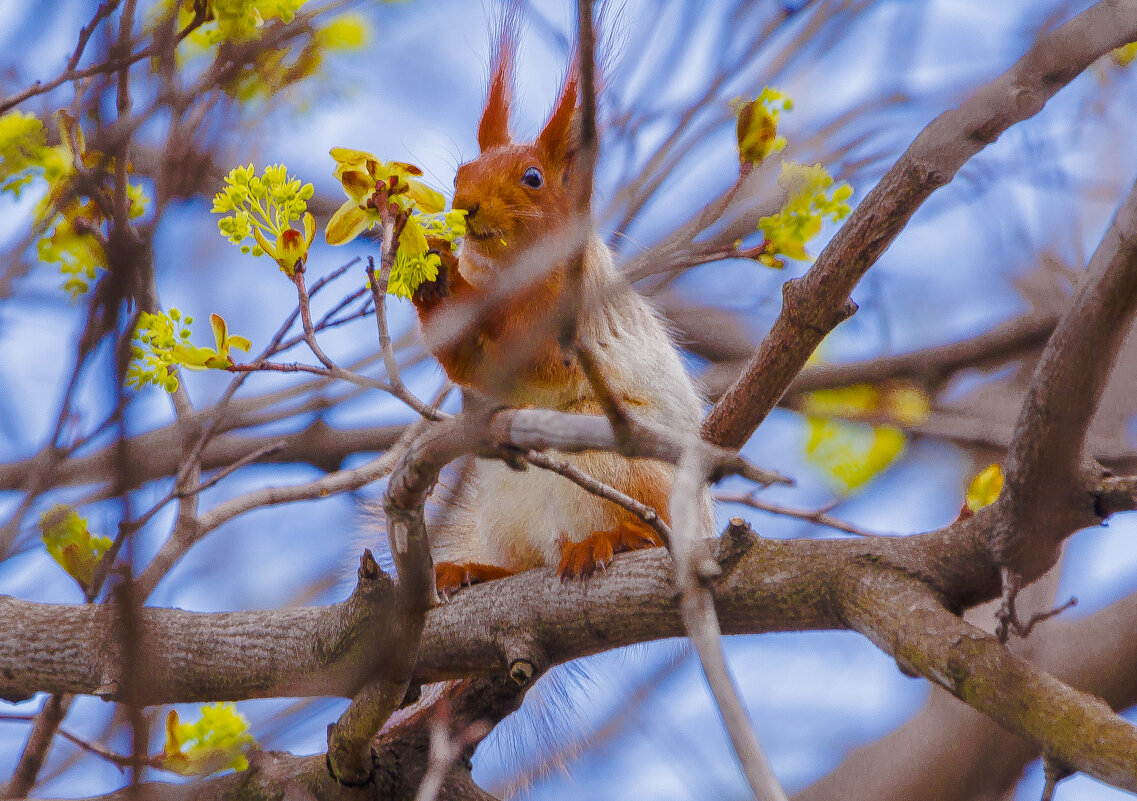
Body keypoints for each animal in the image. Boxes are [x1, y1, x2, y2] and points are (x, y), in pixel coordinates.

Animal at [409, 42, 709, 596]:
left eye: (533, 178)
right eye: (461, 173)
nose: (465, 206)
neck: (505, 272)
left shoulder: (576, 321)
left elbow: (542, 360)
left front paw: (453, 281)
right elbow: (467, 363)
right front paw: (434, 277)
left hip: (614, 461)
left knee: (641, 528)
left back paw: (610, 540)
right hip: (505, 504)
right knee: (529, 561)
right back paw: (475, 569)